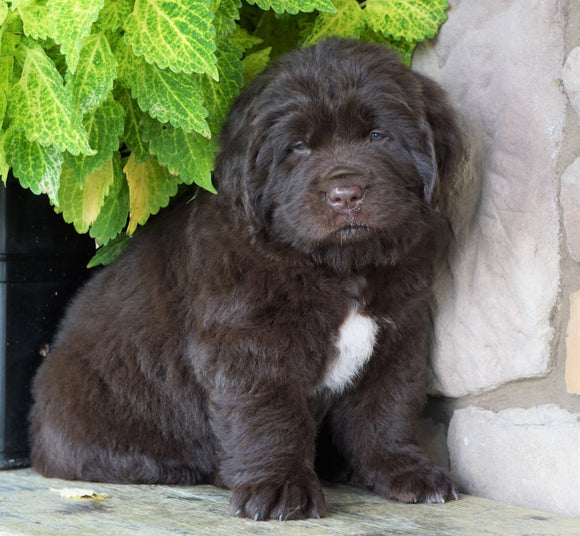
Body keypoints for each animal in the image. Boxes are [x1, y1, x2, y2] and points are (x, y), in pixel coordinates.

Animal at [30, 38, 462, 524]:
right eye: (298, 147)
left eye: (377, 136)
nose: (345, 195)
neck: (339, 269)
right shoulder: (250, 344)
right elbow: (270, 415)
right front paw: (279, 487)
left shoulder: (398, 332)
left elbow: (387, 407)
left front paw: (404, 471)